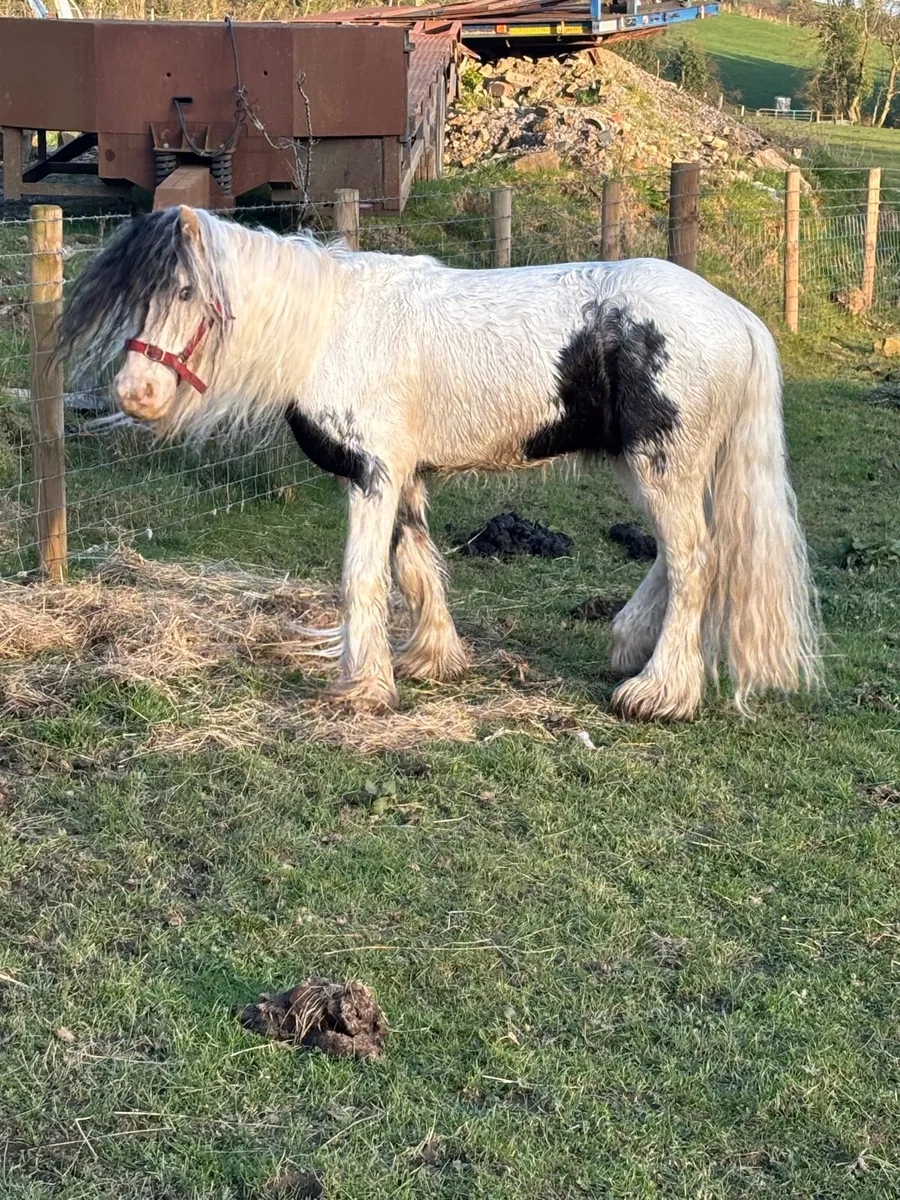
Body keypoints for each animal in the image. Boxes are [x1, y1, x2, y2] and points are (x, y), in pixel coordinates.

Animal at [57, 204, 821, 721]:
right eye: (137, 297)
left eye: (186, 293)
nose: (135, 393)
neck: (332, 328)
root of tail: (737, 316)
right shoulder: (402, 477)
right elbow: (415, 565)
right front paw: (429, 659)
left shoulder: (371, 476)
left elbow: (363, 578)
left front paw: (363, 688)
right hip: (653, 471)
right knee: (677, 554)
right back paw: (630, 645)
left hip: (662, 465)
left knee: (695, 561)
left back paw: (659, 692)